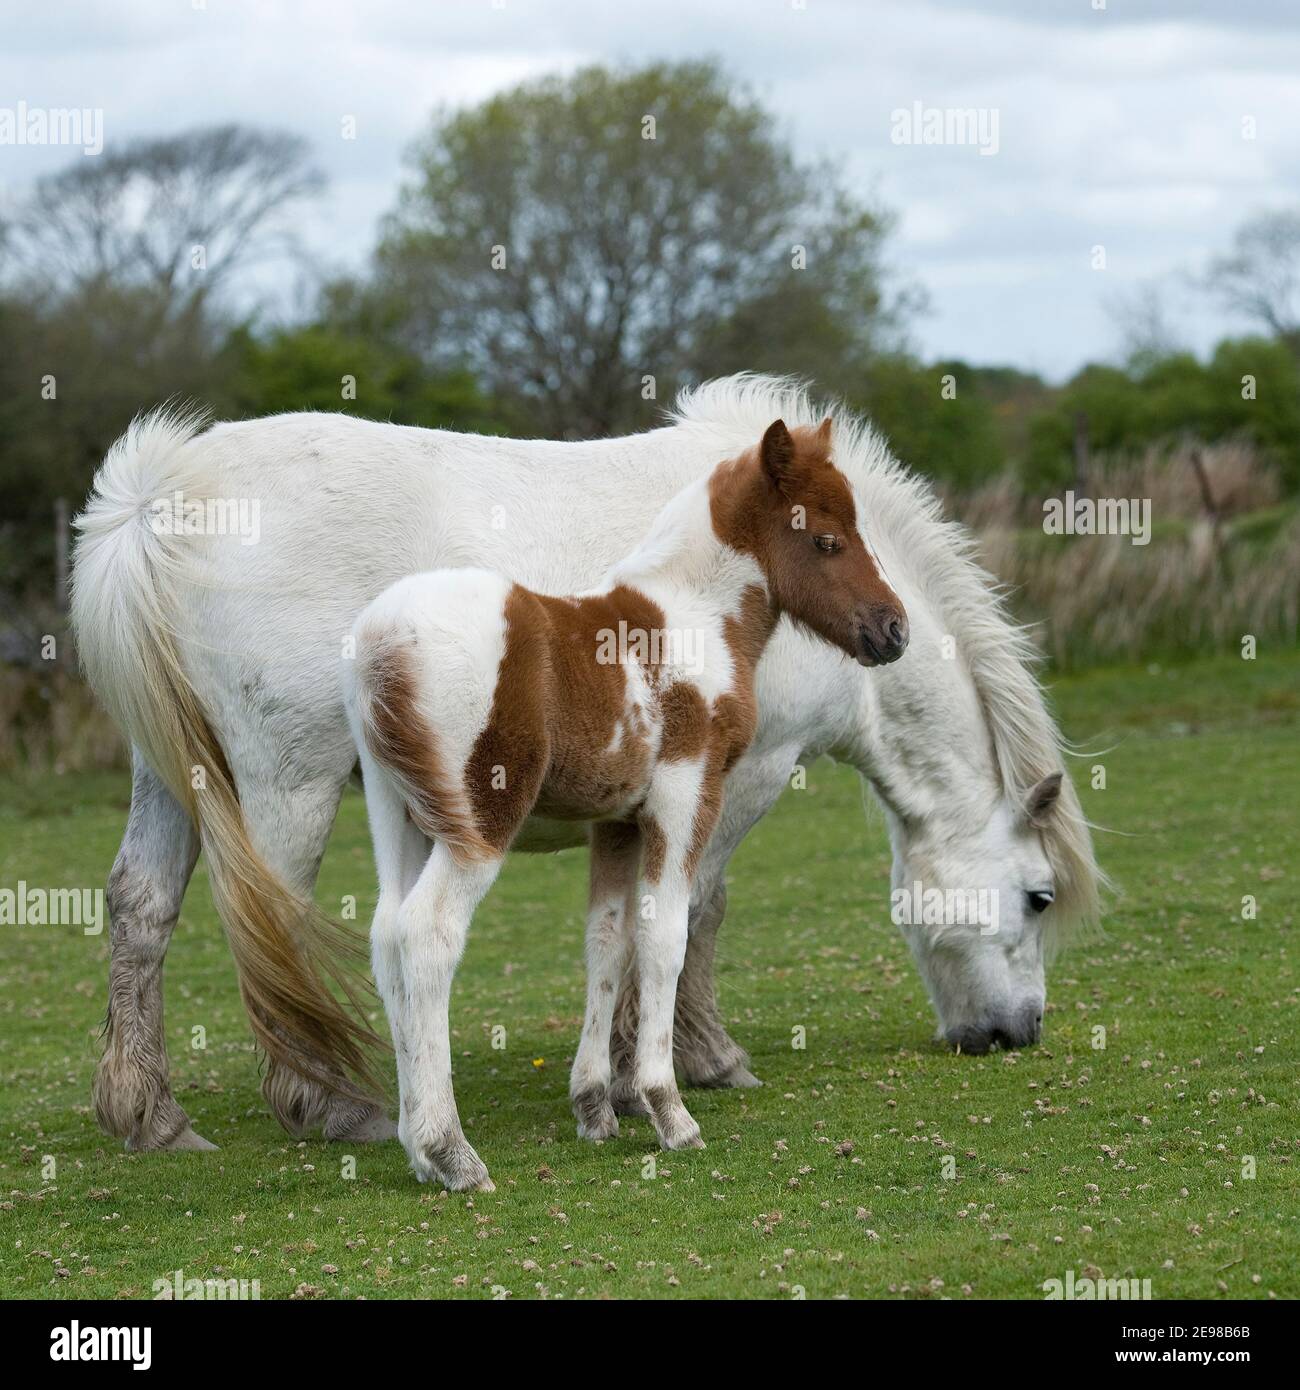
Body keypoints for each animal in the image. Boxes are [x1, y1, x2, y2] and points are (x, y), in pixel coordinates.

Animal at [71, 372, 1101, 1150]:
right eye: (1038, 896)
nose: (1017, 1033)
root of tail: (159, 496)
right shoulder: (743, 778)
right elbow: (693, 914)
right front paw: (695, 1063)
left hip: (175, 779)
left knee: (140, 909)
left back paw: (151, 1117)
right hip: (291, 788)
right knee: (275, 926)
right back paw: (326, 1104)